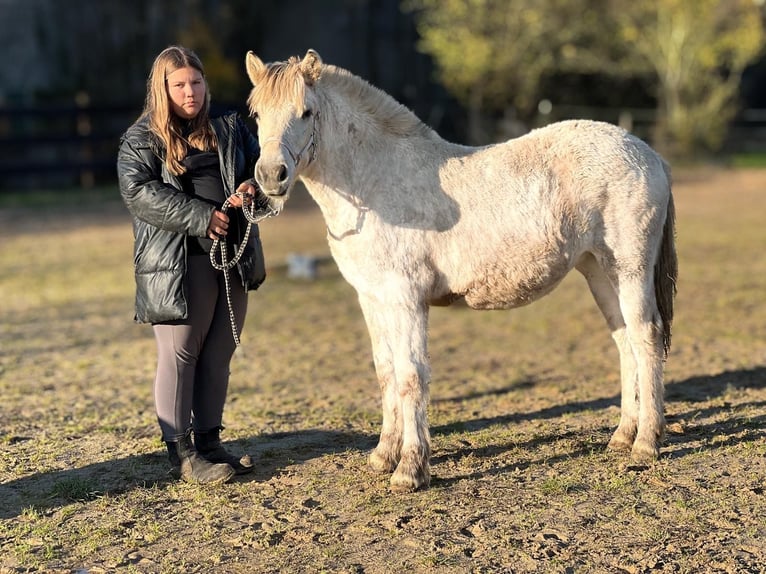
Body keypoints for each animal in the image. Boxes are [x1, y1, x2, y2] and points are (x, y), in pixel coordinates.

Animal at [245, 49, 678, 492]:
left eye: (306, 112)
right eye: (256, 114)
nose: (271, 177)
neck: (376, 182)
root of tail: (647, 154)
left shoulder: (406, 300)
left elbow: (411, 376)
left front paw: (410, 469)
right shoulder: (373, 299)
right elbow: (386, 373)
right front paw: (384, 456)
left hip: (629, 269)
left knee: (645, 337)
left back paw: (646, 443)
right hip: (599, 271)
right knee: (625, 342)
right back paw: (623, 436)